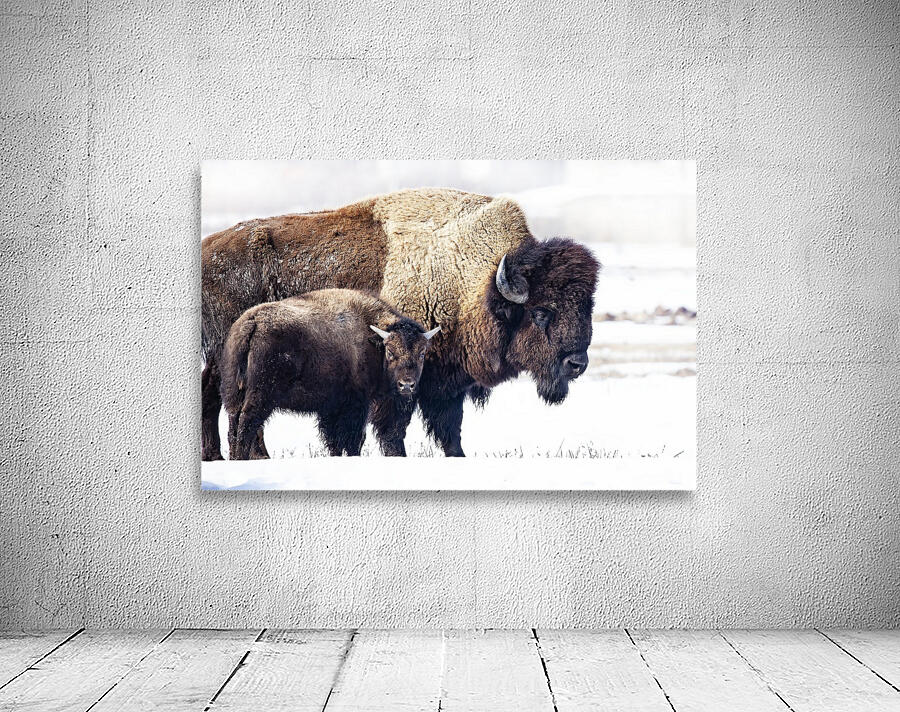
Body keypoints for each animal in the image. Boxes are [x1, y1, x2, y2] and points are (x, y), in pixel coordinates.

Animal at [221, 288, 440, 458]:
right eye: (391, 352)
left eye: (422, 353)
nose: (407, 385)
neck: (372, 341)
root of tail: (252, 323)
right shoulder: (356, 404)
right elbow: (352, 440)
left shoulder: (331, 408)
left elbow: (333, 441)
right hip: (262, 396)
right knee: (247, 424)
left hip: (233, 395)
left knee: (233, 428)